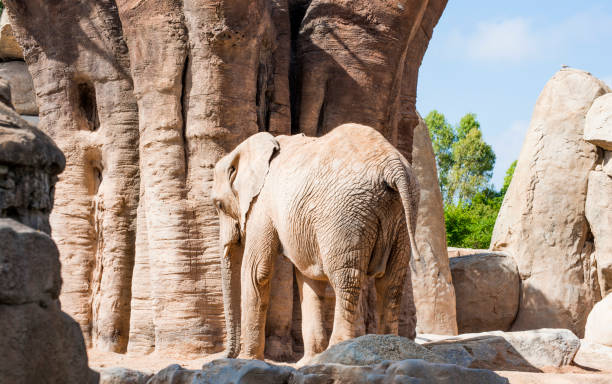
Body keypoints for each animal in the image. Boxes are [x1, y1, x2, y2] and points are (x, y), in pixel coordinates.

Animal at [212, 123, 420, 364]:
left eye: (218, 205)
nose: (226, 355)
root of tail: (392, 166)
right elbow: (308, 277)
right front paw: (308, 362)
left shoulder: (262, 204)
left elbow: (256, 271)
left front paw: (246, 360)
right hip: (402, 215)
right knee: (391, 281)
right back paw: (389, 345)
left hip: (345, 213)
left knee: (347, 279)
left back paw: (337, 350)